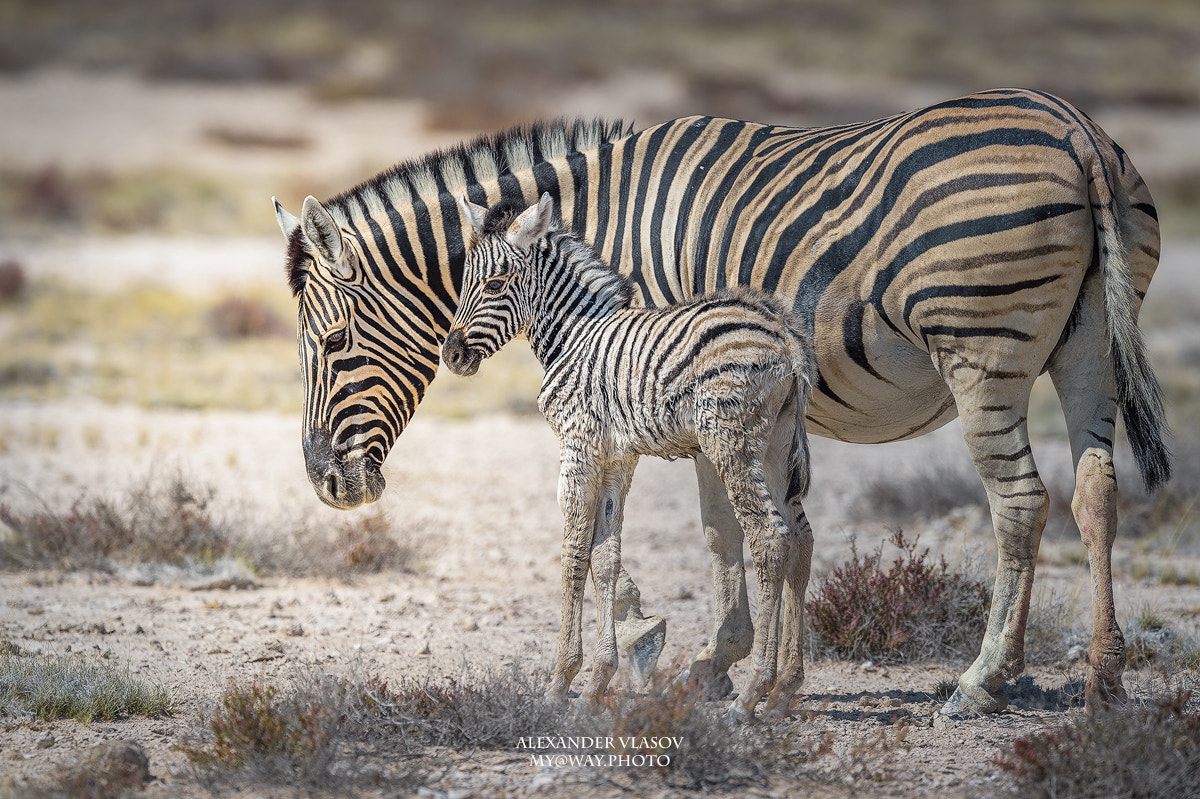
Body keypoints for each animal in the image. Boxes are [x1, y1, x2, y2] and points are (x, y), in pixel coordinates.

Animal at [442, 192, 817, 720]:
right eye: (463, 283)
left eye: (495, 284)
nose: (452, 356)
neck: (574, 335)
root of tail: (783, 330)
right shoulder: (618, 456)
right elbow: (605, 555)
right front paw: (597, 681)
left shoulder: (577, 445)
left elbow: (574, 553)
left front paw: (560, 681)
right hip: (777, 443)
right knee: (801, 539)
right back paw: (784, 689)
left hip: (730, 440)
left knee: (770, 537)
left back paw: (750, 695)